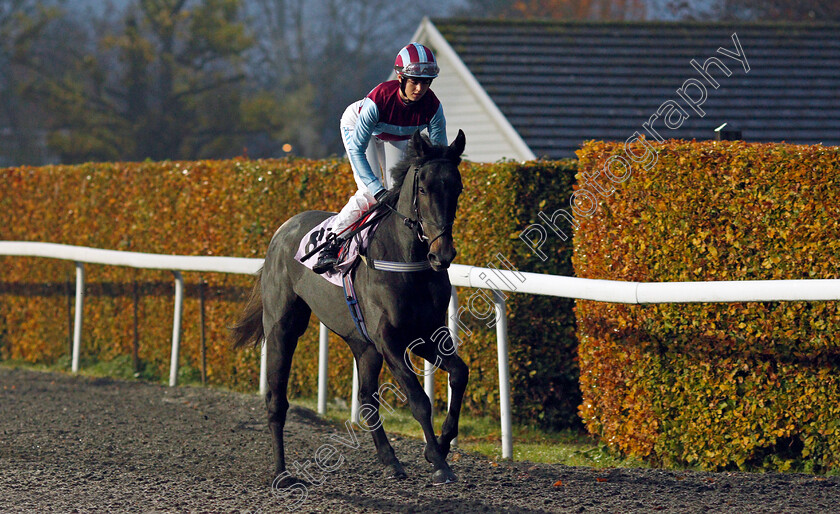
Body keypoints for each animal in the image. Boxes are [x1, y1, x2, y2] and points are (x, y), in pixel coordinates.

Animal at [233, 130, 470, 482]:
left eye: (457, 188)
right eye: (423, 189)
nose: (442, 254)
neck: (407, 260)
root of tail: (284, 228)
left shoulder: (427, 335)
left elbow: (459, 373)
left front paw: (439, 446)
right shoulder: (390, 341)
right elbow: (419, 399)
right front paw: (439, 463)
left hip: (363, 344)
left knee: (366, 398)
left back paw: (390, 459)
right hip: (282, 327)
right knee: (276, 400)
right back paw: (282, 472)